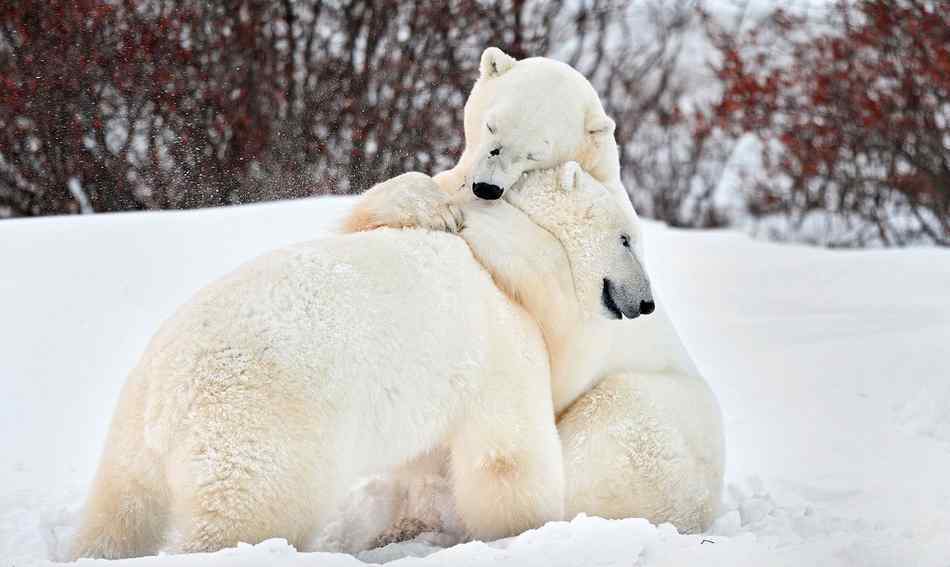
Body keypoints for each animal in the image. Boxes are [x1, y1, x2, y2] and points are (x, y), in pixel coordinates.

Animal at [70, 164, 656, 560]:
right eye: (627, 239)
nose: (647, 303)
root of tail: (170, 395)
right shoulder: (501, 346)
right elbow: (507, 455)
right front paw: (525, 532)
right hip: (260, 431)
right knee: (247, 515)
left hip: (130, 432)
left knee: (120, 507)